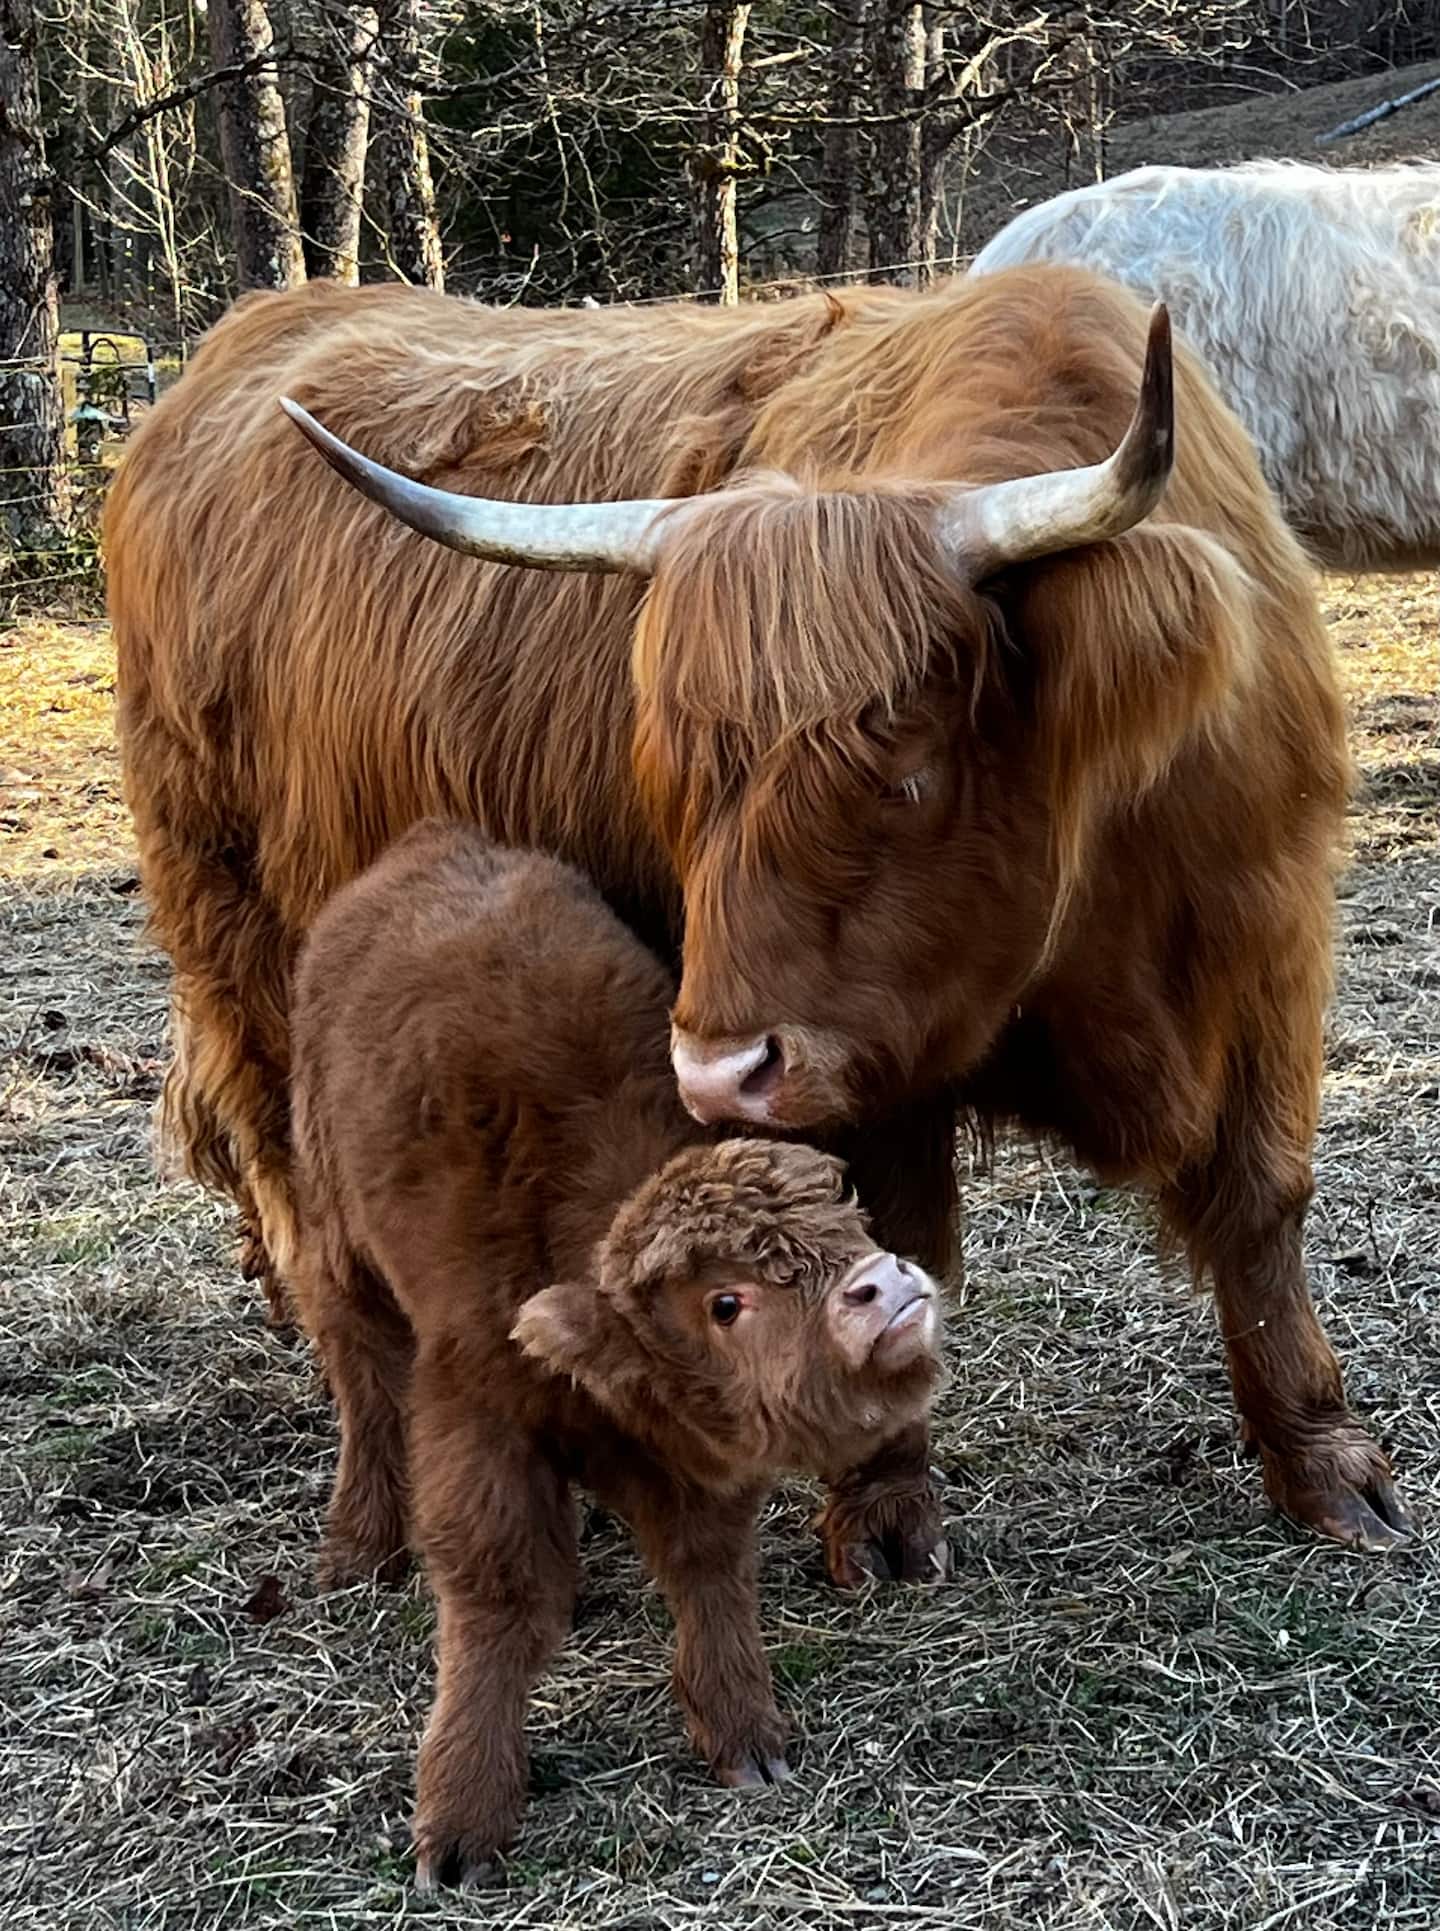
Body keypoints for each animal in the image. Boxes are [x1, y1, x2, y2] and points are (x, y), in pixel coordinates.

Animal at [107, 263, 1412, 1586]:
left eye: (902, 761)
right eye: (680, 771)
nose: (715, 1071)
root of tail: (261, 332)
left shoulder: (1261, 950)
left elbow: (1263, 1206)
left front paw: (1329, 1464)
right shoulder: (868, 1056)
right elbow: (894, 1235)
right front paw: (884, 1507)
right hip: (255, 964)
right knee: (328, 1250)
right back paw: (375, 1520)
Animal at [290, 818, 944, 1884]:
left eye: (845, 1218)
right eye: (725, 1301)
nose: (886, 1282)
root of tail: (431, 844)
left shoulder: (698, 1469)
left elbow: (708, 1563)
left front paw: (744, 1732)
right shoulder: (475, 1413)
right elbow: (497, 1592)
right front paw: (461, 1816)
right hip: (336, 1232)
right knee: (360, 1369)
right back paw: (357, 1540)